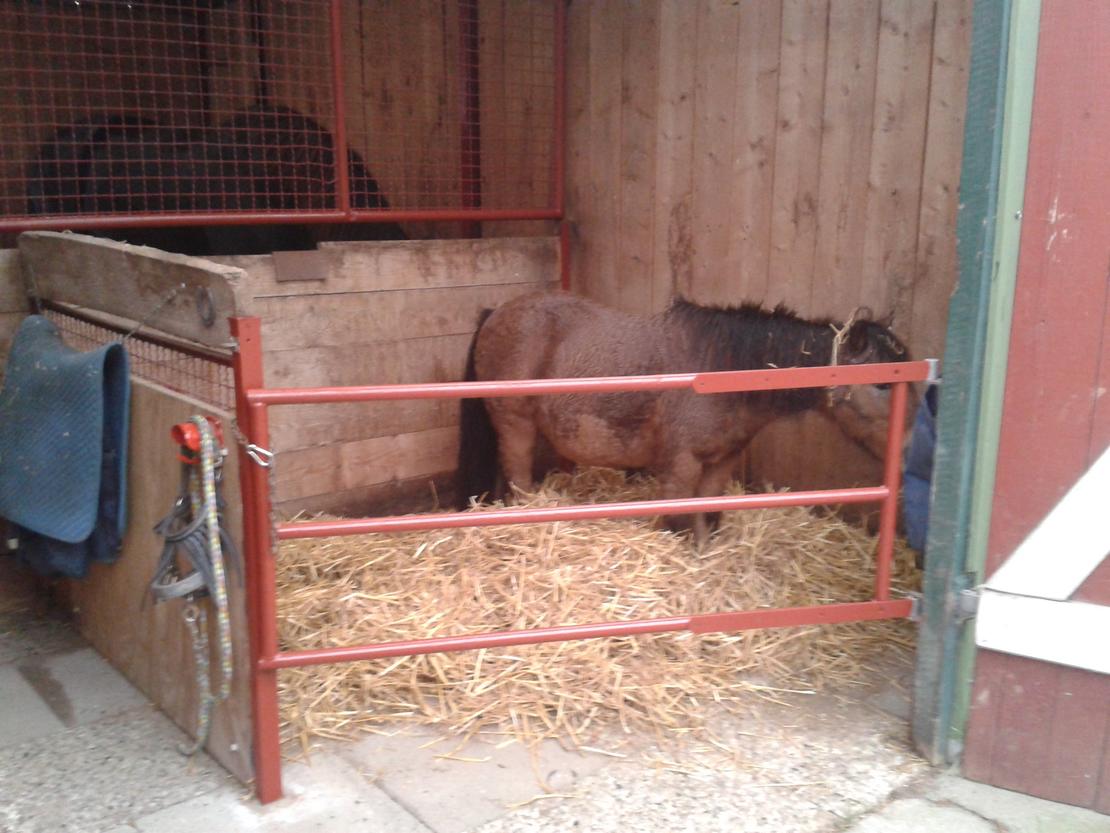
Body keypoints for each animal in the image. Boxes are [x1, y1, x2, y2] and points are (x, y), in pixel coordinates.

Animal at [456, 290, 912, 544]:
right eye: (882, 384)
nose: (909, 448)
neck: (720, 367)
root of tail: (496, 312)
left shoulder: (720, 463)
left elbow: (706, 520)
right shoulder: (681, 465)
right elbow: (678, 524)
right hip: (516, 426)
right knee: (518, 478)